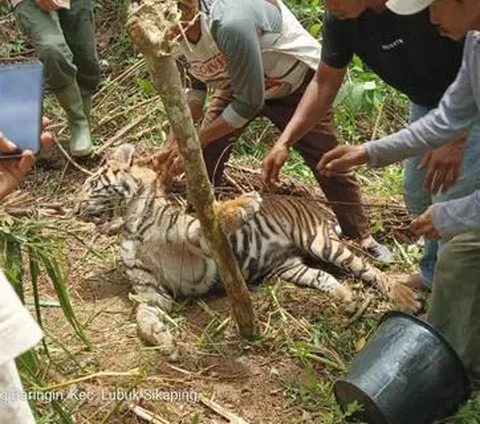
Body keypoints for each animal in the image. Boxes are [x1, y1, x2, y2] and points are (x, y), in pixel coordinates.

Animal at [77, 145, 418, 348]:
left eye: (91, 184)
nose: (74, 207)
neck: (131, 222)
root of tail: (316, 207)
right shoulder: (150, 291)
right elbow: (143, 314)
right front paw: (159, 337)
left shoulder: (196, 237)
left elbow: (212, 216)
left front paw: (246, 203)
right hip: (290, 267)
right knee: (325, 276)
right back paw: (345, 299)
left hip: (321, 243)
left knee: (368, 269)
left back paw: (404, 297)